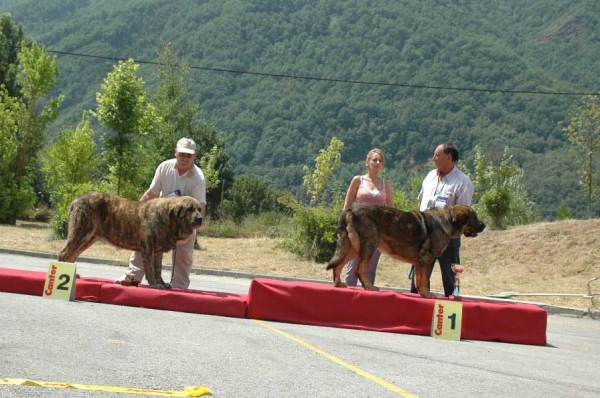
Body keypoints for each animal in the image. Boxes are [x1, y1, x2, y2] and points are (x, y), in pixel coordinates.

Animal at [58, 191, 204, 288]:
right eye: (190, 209)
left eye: (199, 209)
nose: (200, 218)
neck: (168, 218)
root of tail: (76, 200)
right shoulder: (148, 248)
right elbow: (151, 269)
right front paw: (155, 284)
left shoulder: (157, 251)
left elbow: (158, 269)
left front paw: (161, 283)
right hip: (82, 233)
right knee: (64, 254)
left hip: (88, 238)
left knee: (71, 255)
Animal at [326, 204, 486, 296]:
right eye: (474, 217)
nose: (484, 225)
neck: (448, 220)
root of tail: (350, 210)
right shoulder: (427, 259)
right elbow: (423, 279)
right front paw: (427, 295)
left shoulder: (419, 262)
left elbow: (419, 279)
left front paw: (422, 293)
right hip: (370, 244)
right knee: (359, 269)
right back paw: (369, 287)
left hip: (352, 247)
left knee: (338, 265)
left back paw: (338, 284)